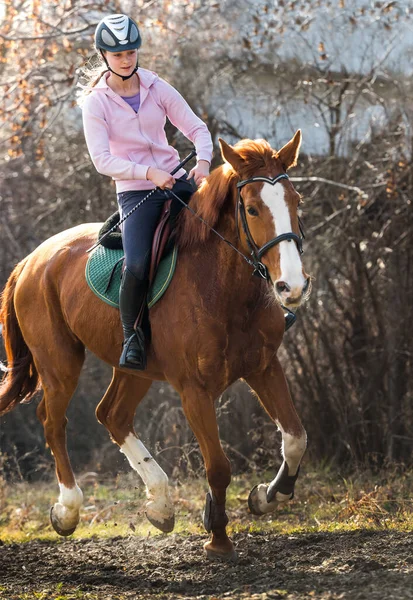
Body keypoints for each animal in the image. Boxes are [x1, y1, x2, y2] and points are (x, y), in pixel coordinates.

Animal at [0, 134, 310, 560]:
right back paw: (68, 509)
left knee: (112, 415)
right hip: (60, 364)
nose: (291, 287)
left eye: (296, 201)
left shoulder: (264, 367)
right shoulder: (194, 390)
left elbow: (295, 438)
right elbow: (218, 466)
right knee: (52, 420)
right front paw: (218, 538)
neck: (221, 287)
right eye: (251, 208)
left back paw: (161, 504)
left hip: (134, 367)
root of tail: (30, 261)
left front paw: (266, 496)